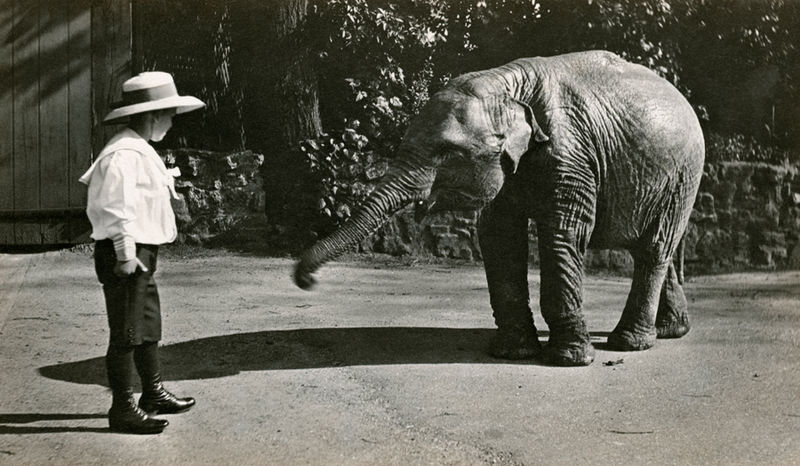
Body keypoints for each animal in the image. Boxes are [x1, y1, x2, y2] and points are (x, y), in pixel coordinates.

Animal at [290, 49, 704, 366]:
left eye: (447, 152)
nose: (305, 281)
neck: (506, 84)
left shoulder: (571, 157)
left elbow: (564, 234)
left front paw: (570, 360)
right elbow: (500, 236)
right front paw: (513, 353)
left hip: (684, 175)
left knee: (653, 248)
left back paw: (628, 344)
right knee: (655, 248)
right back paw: (669, 332)